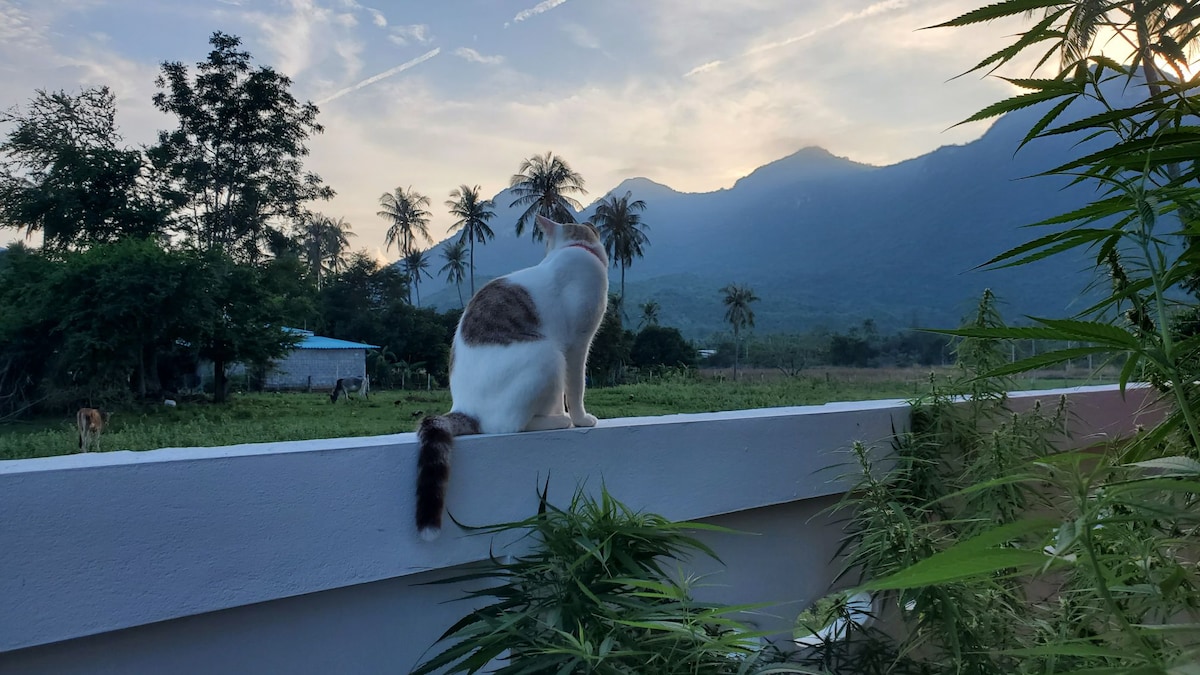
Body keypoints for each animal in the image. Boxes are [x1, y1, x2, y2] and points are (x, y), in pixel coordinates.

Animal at [415, 212, 609, 538]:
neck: (576, 247)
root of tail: (463, 407)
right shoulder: (577, 345)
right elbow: (575, 387)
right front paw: (581, 418)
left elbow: (562, 394)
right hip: (548, 354)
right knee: (507, 425)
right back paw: (559, 421)